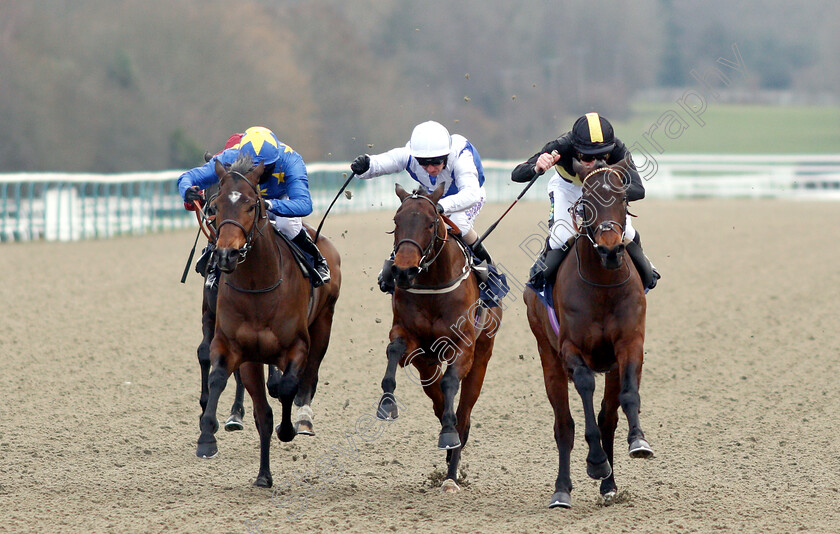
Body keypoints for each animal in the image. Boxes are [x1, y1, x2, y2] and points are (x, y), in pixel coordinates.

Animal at [197, 155, 342, 490]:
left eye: (252, 205)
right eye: (216, 205)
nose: (226, 254)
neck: (257, 285)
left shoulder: (296, 346)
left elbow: (287, 386)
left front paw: (287, 428)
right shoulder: (234, 347)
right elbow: (223, 379)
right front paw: (207, 436)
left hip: (324, 324)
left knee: (308, 377)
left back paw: (302, 419)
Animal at [378, 183, 502, 494]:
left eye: (431, 222)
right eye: (396, 220)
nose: (403, 270)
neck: (433, 285)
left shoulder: (465, 347)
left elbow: (450, 385)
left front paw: (448, 435)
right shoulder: (410, 338)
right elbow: (393, 350)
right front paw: (386, 404)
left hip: (481, 359)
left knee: (464, 411)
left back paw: (451, 472)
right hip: (427, 363)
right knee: (437, 400)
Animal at [524, 159, 656, 510]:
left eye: (623, 198)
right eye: (586, 202)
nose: (611, 250)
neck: (602, 285)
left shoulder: (629, 344)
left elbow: (627, 397)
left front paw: (638, 442)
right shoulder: (571, 350)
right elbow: (584, 390)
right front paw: (596, 462)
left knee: (607, 416)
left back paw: (609, 485)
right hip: (549, 359)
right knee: (564, 426)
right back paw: (562, 491)